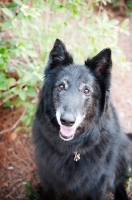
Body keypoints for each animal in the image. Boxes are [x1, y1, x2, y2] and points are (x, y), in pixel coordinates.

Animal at [32, 39, 132, 200]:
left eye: (86, 90)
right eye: (61, 86)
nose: (67, 121)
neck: (73, 148)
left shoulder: (97, 187)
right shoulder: (48, 180)